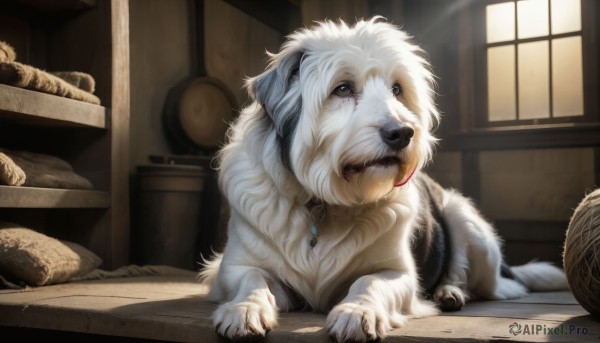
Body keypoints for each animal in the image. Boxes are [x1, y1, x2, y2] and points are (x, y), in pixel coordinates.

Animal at [200, 17, 568, 342]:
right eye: (342, 88)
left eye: (397, 89)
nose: (402, 133)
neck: (326, 203)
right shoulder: (231, 267)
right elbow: (252, 279)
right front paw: (244, 310)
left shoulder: (399, 273)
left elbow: (369, 282)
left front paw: (357, 312)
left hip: (465, 221)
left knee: (472, 275)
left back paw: (450, 291)